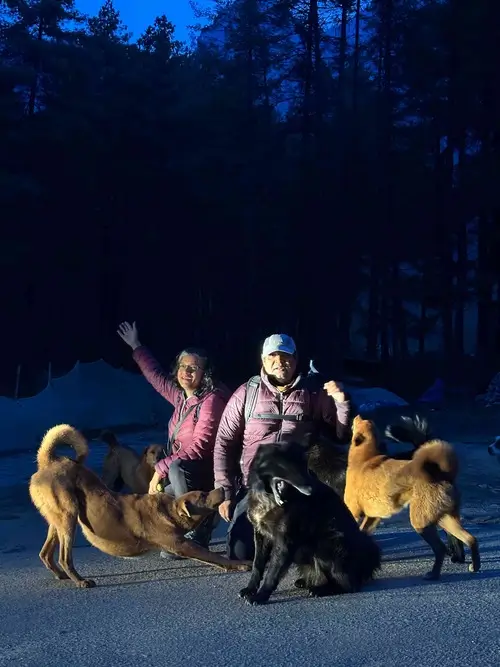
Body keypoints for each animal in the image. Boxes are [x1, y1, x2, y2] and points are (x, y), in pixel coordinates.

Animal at [29, 426, 252, 588]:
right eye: (203, 495)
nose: (222, 488)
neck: (169, 510)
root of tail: (49, 461)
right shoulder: (181, 544)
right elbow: (215, 556)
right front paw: (241, 564)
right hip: (68, 516)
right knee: (64, 557)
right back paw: (80, 580)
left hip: (57, 519)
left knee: (45, 553)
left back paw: (61, 575)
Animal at [240, 444, 380, 604]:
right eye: (291, 467)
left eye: (305, 467)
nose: (311, 489)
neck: (267, 498)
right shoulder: (261, 536)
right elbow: (257, 565)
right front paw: (251, 589)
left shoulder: (285, 541)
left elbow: (272, 572)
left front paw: (261, 596)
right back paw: (308, 582)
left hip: (328, 543)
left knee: (349, 586)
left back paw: (320, 589)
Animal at [344, 414, 480, 580]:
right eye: (367, 422)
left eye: (360, 423)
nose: (357, 415)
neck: (365, 458)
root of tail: (442, 475)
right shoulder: (373, 517)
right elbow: (363, 534)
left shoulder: (353, 512)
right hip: (445, 519)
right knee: (470, 539)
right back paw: (474, 565)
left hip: (420, 522)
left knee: (440, 548)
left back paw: (434, 574)